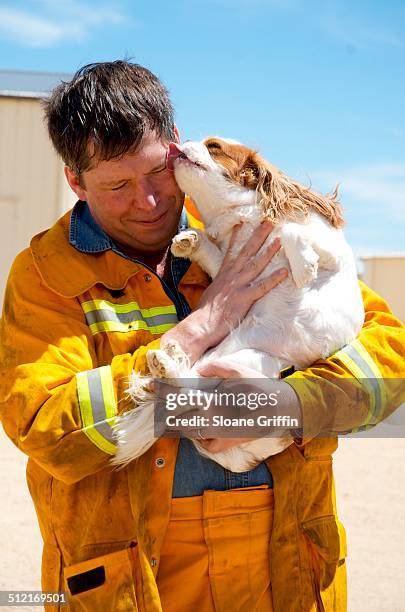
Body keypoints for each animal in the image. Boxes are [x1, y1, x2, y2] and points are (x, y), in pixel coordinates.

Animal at [112, 140, 364, 474]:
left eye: (214, 146)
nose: (179, 143)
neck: (243, 219)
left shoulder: (332, 254)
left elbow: (290, 231)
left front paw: (303, 267)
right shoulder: (228, 265)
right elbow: (216, 254)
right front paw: (190, 240)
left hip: (258, 363)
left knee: (196, 391)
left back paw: (167, 365)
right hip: (232, 357)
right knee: (193, 387)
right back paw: (167, 364)